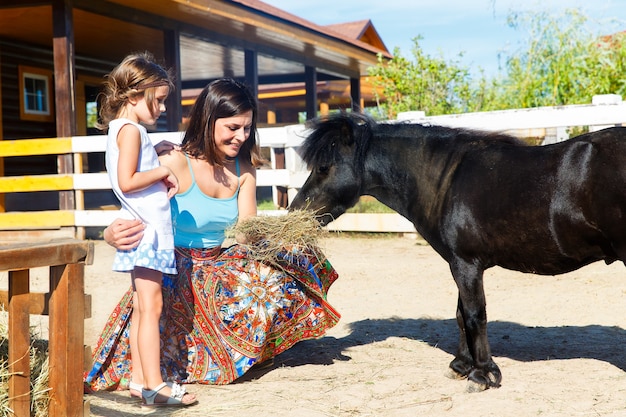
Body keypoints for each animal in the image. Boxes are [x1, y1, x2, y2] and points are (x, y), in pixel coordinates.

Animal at [288, 111, 626, 390]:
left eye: (323, 167)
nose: (294, 211)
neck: (446, 180)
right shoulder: (459, 264)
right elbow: (461, 314)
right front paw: (461, 366)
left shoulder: (466, 264)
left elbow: (476, 315)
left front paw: (483, 374)